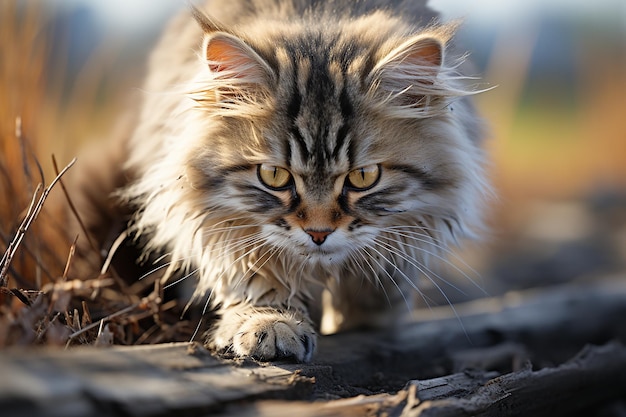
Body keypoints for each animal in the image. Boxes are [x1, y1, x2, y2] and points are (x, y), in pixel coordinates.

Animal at [66, 0, 490, 360]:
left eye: (363, 177)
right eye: (274, 176)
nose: (319, 234)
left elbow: (384, 274)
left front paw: (364, 315)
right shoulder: (225, 227)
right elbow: (258, 279)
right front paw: (271, 323)